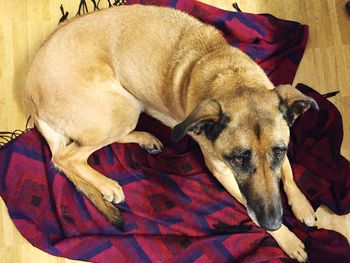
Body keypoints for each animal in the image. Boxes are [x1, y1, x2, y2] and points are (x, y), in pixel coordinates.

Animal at [23, 5, 320, 262]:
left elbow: (289, 173)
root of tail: (32, 95)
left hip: (128, 107)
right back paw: (108, 185)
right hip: (121, 108)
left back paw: (146, 140)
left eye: (278, 151)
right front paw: (287, 239)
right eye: (237, 159)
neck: (231, 76)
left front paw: (302, 205)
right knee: (67, 157)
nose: (274, 221)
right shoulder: (220, 170)